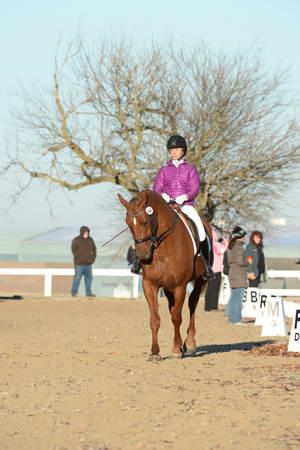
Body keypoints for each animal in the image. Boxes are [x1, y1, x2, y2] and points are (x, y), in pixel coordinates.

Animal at [118, 190, 213, 362]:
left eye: (145, 222)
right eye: (128, 224)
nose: (143, 255)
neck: (164, 248)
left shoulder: (180, 286)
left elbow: (177, 318)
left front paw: (175, 350)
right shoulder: (150, 285)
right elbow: (155, 319)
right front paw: (155, 352)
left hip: (200, 281)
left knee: (192, 305)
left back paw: (189, 343)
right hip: (169, 289)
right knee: (172, 308)